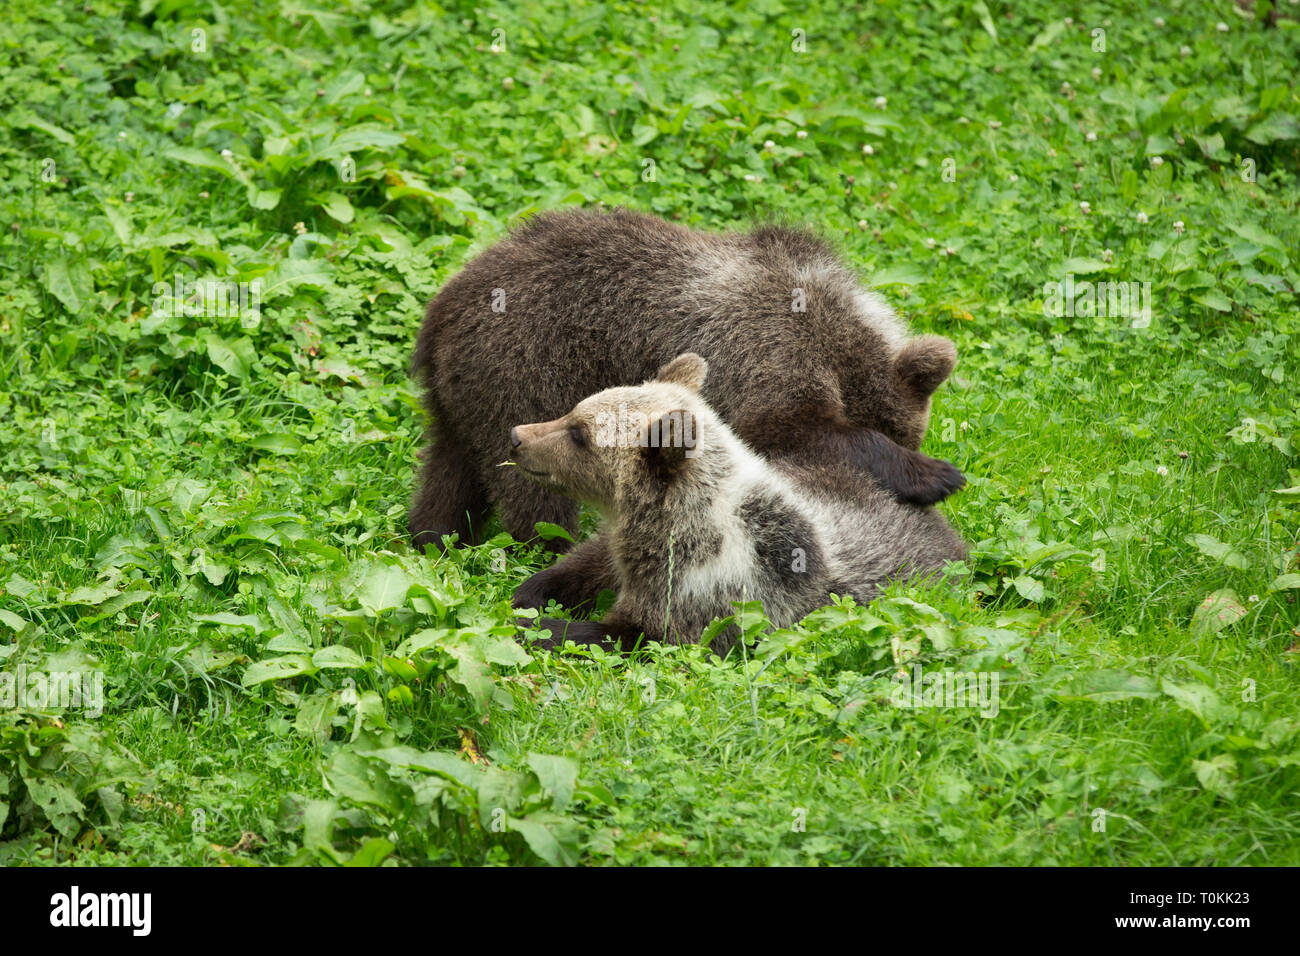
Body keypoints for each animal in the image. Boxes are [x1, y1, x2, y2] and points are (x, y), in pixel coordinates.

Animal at [408, 207, 964, 562]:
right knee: (533, 489)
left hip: (464, 396)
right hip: (527, 367)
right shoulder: (766, 353)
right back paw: (549, 547)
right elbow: (795, 430)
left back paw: (430, 537)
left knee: (449, 473)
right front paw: (935, 475)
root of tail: (440, 310)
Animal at [509, 353, 968, 656]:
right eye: (575, 409)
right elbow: (586, 562)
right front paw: (531, 594)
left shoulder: (713, 599)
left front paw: (537, 627)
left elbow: (630, 635)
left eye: (579, 434)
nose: (518, 436)